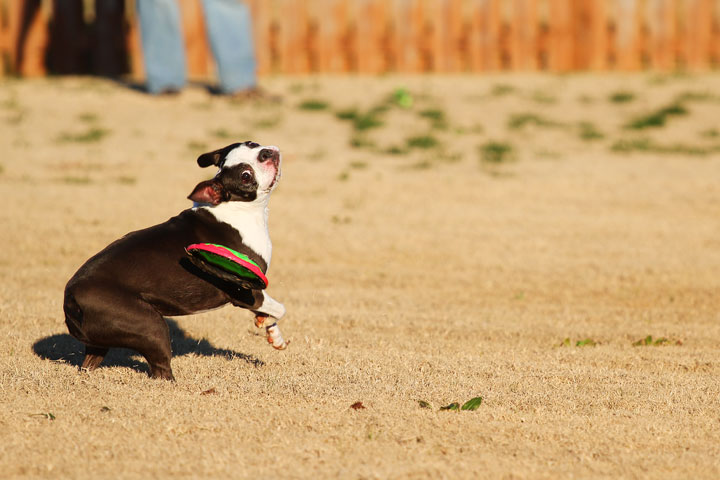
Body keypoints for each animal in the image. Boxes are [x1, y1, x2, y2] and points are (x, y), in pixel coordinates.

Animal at [63, 141, 286, 380]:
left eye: (252, 144)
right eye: (245, 175)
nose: (265, 152)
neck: (235, 208)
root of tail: (71, 297)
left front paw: (273, 334)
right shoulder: (245, 291)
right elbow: (280, 308)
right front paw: (269, 323)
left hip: (101, 340)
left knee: (90, 362)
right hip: (149, 326)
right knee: (161, 368)